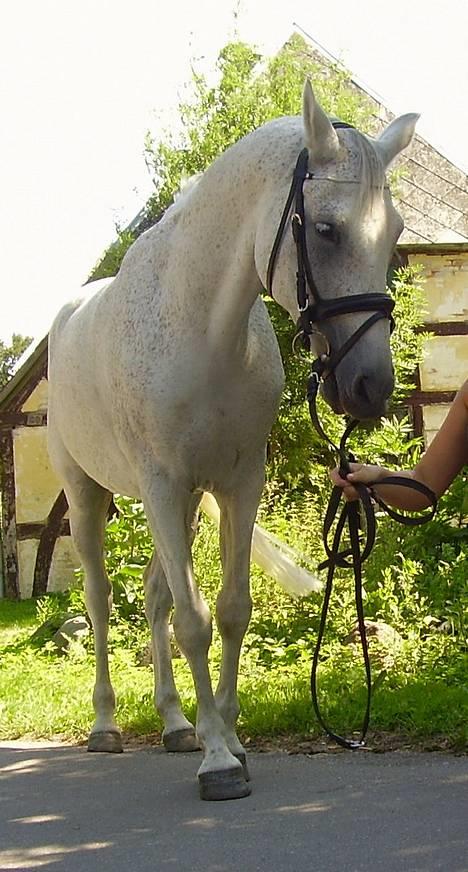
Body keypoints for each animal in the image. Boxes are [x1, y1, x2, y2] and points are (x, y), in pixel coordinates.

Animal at [47, 85, 418, 800]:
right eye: (325, 229)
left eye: (394, 235)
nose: (370, 388)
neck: (200, 327)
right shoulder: (163, 485)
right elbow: (193, 618)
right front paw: (219, 760)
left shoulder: (237, 484)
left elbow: (230, 610)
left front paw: (228, 736)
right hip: (90, 496)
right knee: (102, 600)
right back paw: (107, 725)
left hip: (187, 504)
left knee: (155, 596)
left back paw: (174, 723)